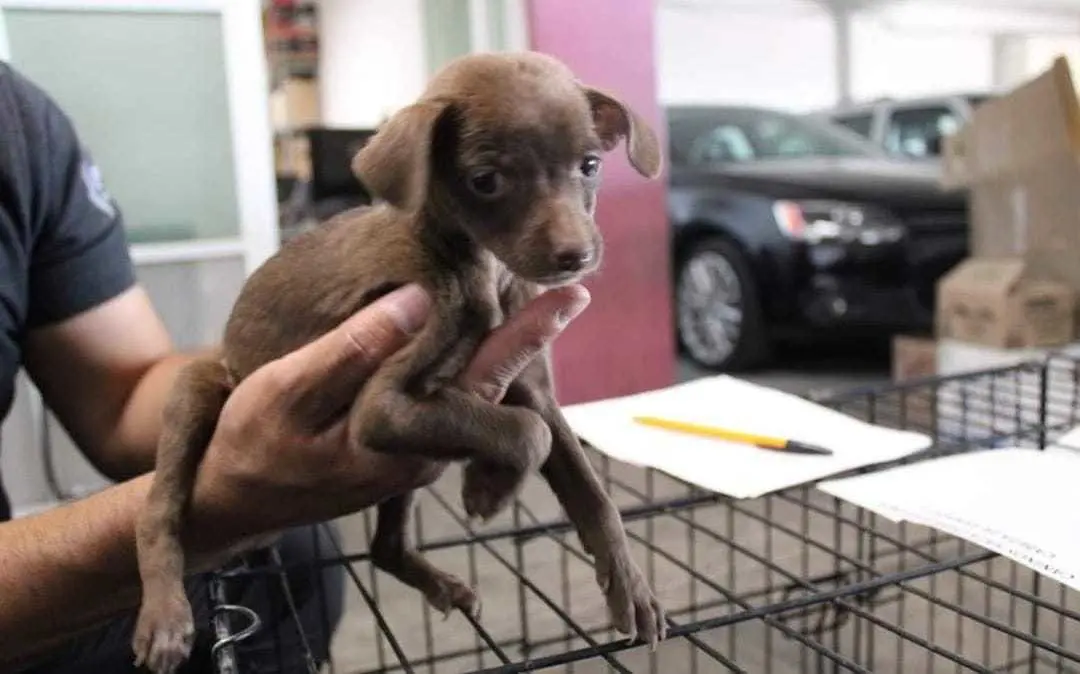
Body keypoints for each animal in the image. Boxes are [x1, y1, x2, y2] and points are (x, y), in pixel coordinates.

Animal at [132, 52, 665, 674]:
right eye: (486, 180)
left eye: (589, 165)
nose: (574, 256)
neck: (480, 271)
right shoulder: (382, 406)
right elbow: (528, 434)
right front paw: (488, 486)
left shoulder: (531, 385)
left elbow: (588, 488)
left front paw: (630, 586)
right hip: (199, 390)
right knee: (158, 510)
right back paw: (165, 617)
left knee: (385, 548)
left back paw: (438, 582)